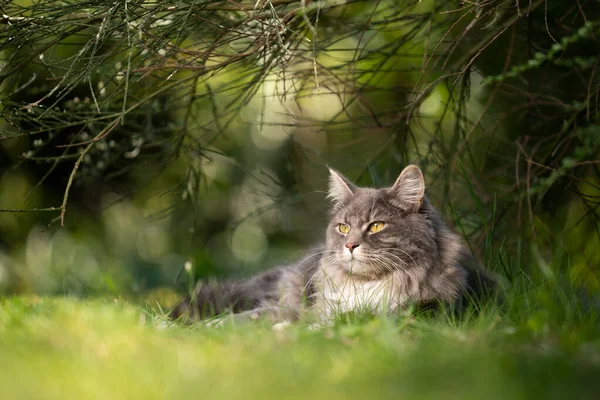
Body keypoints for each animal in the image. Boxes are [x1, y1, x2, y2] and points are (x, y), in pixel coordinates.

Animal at [171, 164, 500, 324]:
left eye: (376, 225)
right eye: (343, 227)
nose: (350, 246)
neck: (367, 285)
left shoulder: (422, 313)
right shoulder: (310, 309)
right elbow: (255, 317)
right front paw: (212, 328)